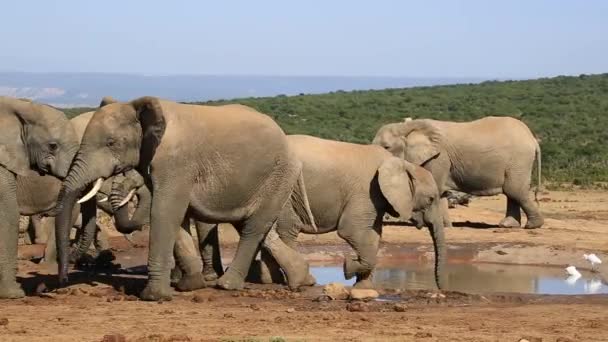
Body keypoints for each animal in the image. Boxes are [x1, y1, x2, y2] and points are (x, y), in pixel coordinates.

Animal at [54, 95, 306, 300]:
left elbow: (164, 212)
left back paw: (227, 285)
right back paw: (301, 279)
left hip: (280, 175)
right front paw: (189, 286)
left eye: (111, 143)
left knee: (254, 227)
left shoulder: (175, 163)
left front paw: (153, 296)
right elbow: (177, 217)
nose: (63, 280)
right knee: (250, 224)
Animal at [372, 117, 544, 230]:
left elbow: (435, 189)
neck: (408, 127)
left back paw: (532, 226)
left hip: (519, 159)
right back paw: (508, 225)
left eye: (386, 147)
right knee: (512, 192)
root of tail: (533, 139)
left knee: (514, 190)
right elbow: (440, 192)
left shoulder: (439, 157)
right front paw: (444, 226)